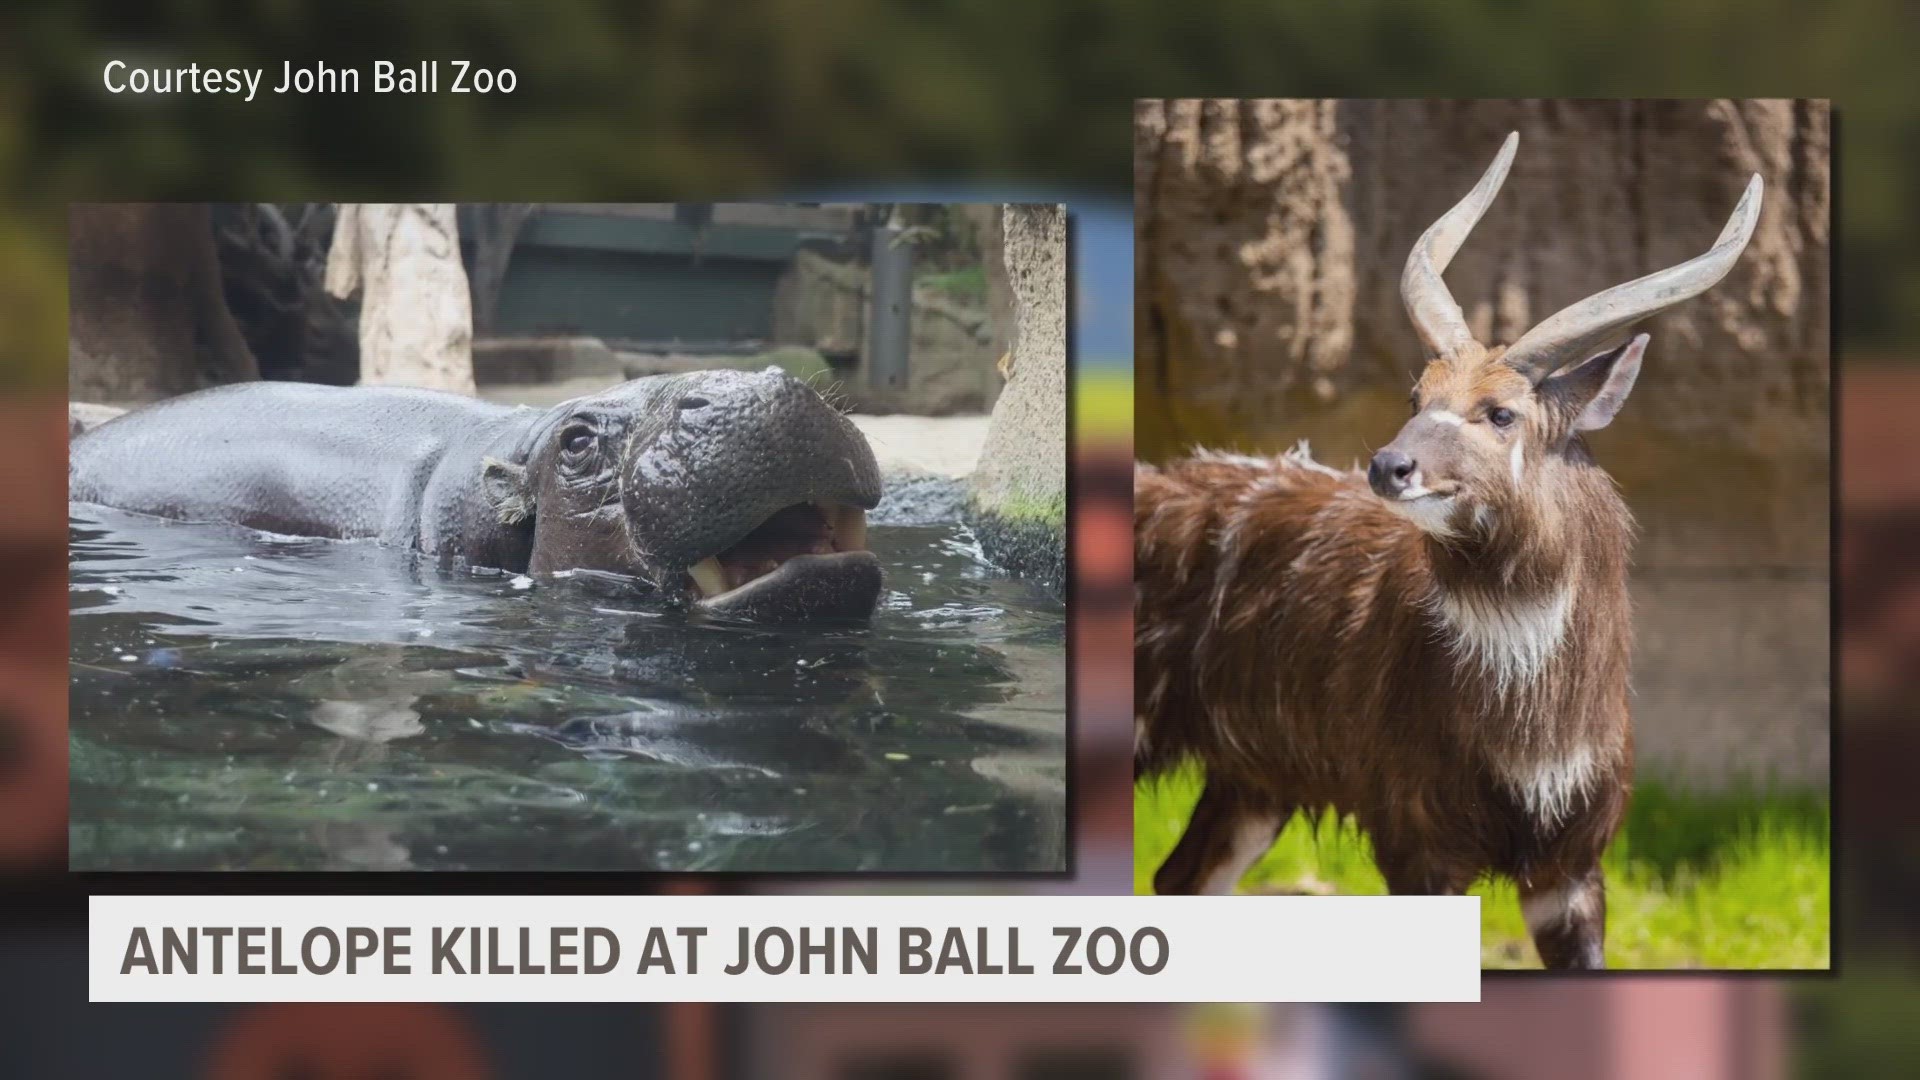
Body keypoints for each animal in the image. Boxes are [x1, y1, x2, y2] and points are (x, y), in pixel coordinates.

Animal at [1128, 130, 1758, 960]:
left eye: (1500, 413)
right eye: (1416, 396)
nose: (1388, 466)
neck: (1529, 724)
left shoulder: (1570, 869)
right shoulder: (1418, 844)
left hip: (1252, 787)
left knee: (1179, 878)